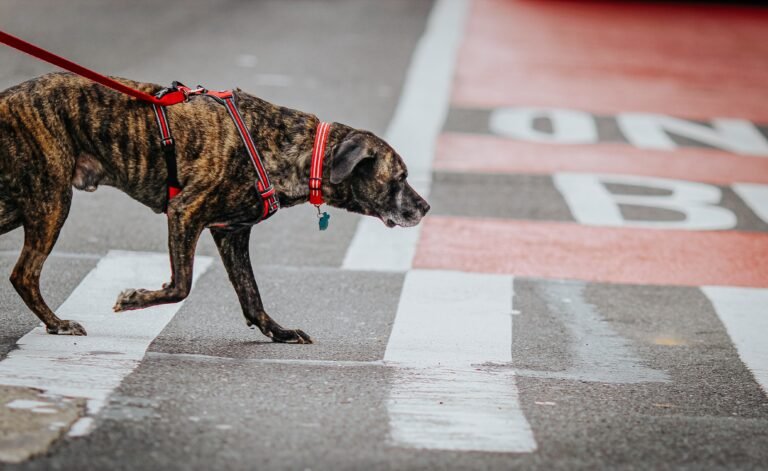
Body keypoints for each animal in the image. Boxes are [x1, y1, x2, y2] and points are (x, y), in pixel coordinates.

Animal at [0, 72, 432, 342]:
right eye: (399, 178)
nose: (426, 207)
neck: (295, 149)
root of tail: (6, 99)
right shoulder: (185, 213)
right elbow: (181, 286)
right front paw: (134, 299)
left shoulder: (232, 234)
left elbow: (252, 295)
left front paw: (278, 333)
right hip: (52, 201)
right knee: (24, 274)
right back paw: (57, 323)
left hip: (21, 204)